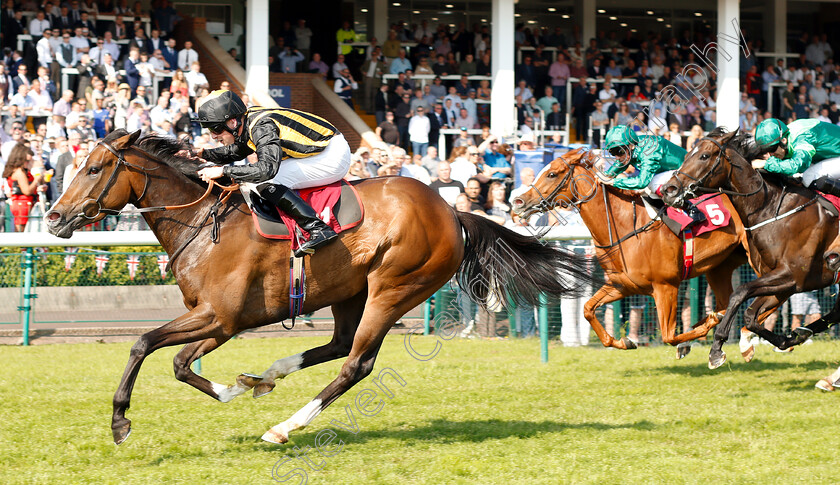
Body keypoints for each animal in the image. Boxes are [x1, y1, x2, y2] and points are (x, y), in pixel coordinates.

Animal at [44, 130, 592, 444]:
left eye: (94, 168)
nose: (53, 217)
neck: (202, 222)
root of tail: (452, 211)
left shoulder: (220, 316)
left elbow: (144, 344)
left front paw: (120, 422)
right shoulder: (216, 321)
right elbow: (178, 362)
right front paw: (234, 387)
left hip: (394, 288)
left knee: (357, 363)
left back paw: (284, 426)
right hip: (350, 292)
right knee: (339, 344)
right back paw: (265, 375)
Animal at [508, 147, 744, 356]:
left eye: (552, 174)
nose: (518, 202)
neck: (626, 228)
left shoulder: (666, 286)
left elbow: (669, 336)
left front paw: (702, 330)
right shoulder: (622, 285)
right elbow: (587, 308)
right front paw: (624, 341)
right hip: (720, 266)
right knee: (726, 300)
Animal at [664, 127, 840, 366]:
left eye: (704, 156)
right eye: (687, 154)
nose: (668, 190)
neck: (771, 209)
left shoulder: (794, 276)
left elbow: (739, 293)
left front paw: (716, 348)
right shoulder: (780, 281)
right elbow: (750, 315)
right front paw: (786, 339)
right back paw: (803, 332)